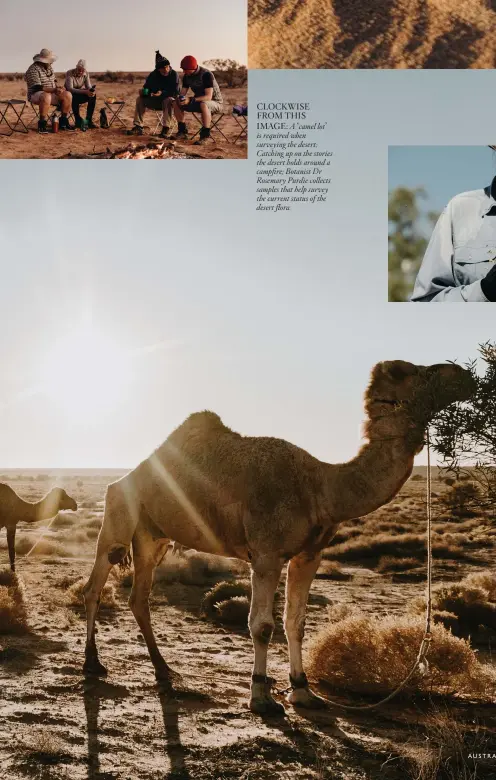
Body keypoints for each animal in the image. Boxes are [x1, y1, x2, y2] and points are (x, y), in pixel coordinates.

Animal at [83, 360, 474, 712]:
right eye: (411, 370)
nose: (462, 373)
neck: (322, 488)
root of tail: (131, 473)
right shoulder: (266, 554)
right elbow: (261, 626)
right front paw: (260, 697)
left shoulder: (309, 555)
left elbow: (295, 622)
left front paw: (302, 691)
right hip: (118, 513)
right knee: (96, 584)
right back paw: (93, 664)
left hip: (154, 537)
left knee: (139, 597)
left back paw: (163, 671)